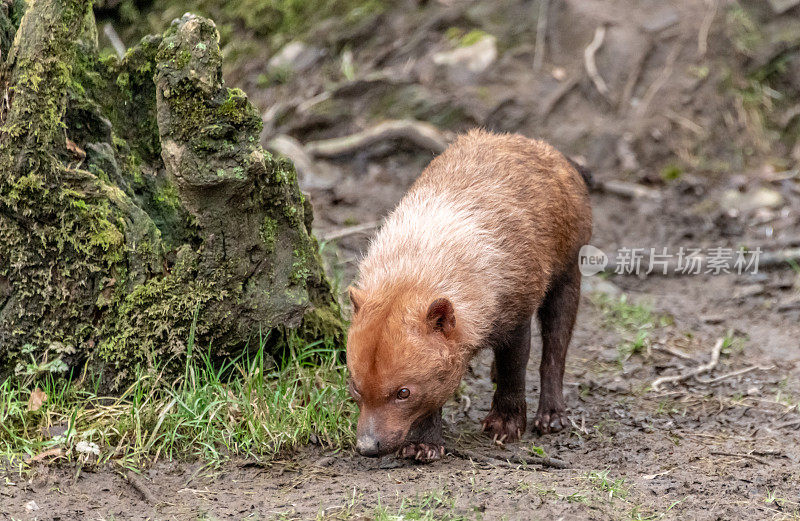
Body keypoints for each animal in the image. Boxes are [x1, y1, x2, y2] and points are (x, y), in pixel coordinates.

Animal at [346, 129, 592, 460]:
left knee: (556, 349)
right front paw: (423, 444)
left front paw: (505, 424)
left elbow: (515, 368)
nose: (367, 447)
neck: (418, 266)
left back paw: (552, 415)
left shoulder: (515, 312)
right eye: (356, 388)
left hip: (567, 273)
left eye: (403, 393)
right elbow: (438, 388)